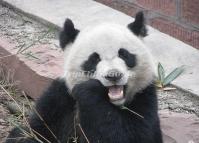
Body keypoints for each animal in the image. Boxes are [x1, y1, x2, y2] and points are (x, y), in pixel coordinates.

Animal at [5, 12, 162, 143]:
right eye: (94, 59)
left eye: (124, 54)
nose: (113, 75)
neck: (113, 104)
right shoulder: (60, 99)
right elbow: (35, 132)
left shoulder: (144, 98)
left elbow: (132, 136)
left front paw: (90, 90)